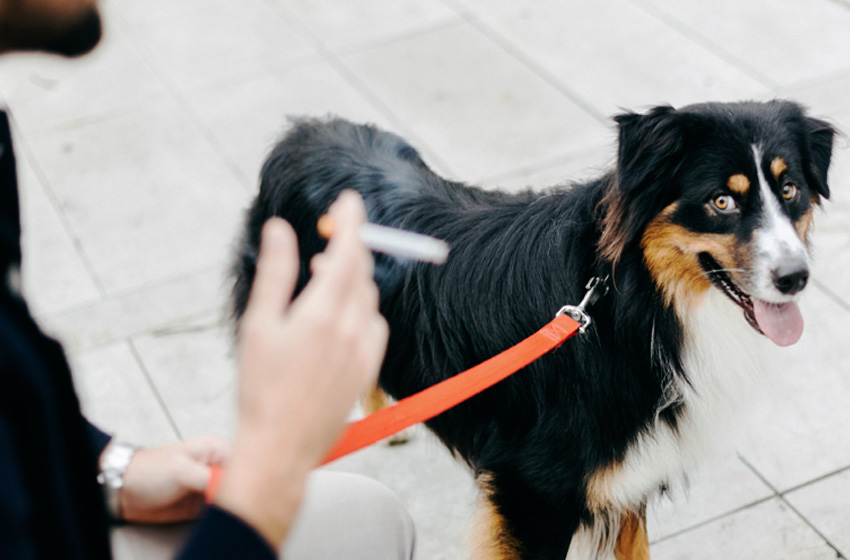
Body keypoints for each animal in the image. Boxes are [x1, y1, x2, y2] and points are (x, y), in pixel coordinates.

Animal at [230, 101, 836, 560]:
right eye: (721, 201)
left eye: (789, 190)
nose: (796, 278)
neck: (635, 307)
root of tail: (305, 131)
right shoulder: (534, 493)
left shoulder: (632, 474)